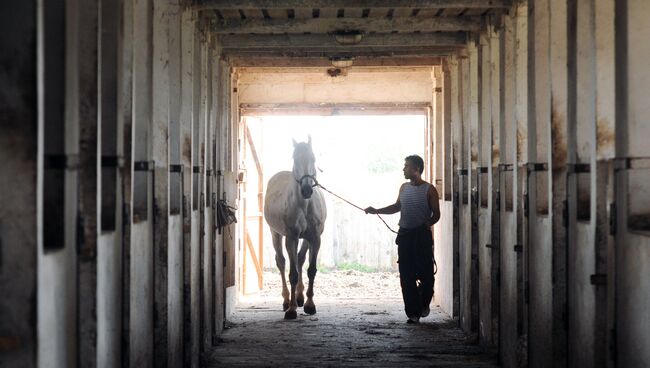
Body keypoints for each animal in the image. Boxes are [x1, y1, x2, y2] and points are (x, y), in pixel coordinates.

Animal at [262, 136, 326, 320]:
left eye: (313, 158)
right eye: (294, 159)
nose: (306, 190)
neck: (304, 205)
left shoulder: (315, 239)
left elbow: (311, 270)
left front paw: (310, 305)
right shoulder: (291, 238)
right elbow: (293, 274)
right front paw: (291, 310)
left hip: (305, 239)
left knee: (299, 259)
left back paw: (299, 297)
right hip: (275, 234)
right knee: (282, 263)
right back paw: (286, 301)